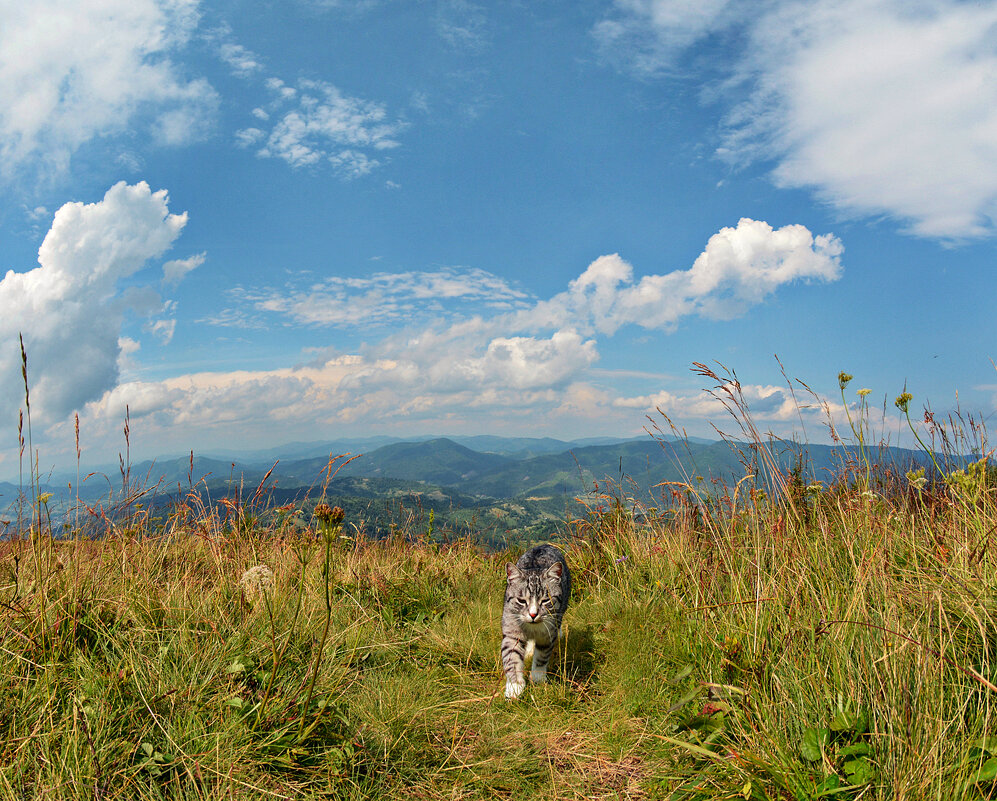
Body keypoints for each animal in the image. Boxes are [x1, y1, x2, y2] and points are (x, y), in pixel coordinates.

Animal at [498, 544, 568, 700]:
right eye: (521, 601)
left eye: (546, 600)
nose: (533, 614)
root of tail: (544, 545)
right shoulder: (512, 631)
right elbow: (511, 658)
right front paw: (514, 688)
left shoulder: (548, 633)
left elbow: (542, 656)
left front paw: (538, 678)